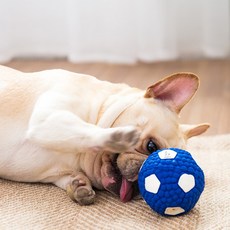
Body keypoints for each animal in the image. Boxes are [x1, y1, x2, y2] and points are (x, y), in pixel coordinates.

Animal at [0, 64, 208, 205]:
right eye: (151, 146)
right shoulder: (46, 120)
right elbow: (85, 131)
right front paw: (119, 136)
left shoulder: (55, 169)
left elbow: (66, 175)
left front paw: (78, 185)